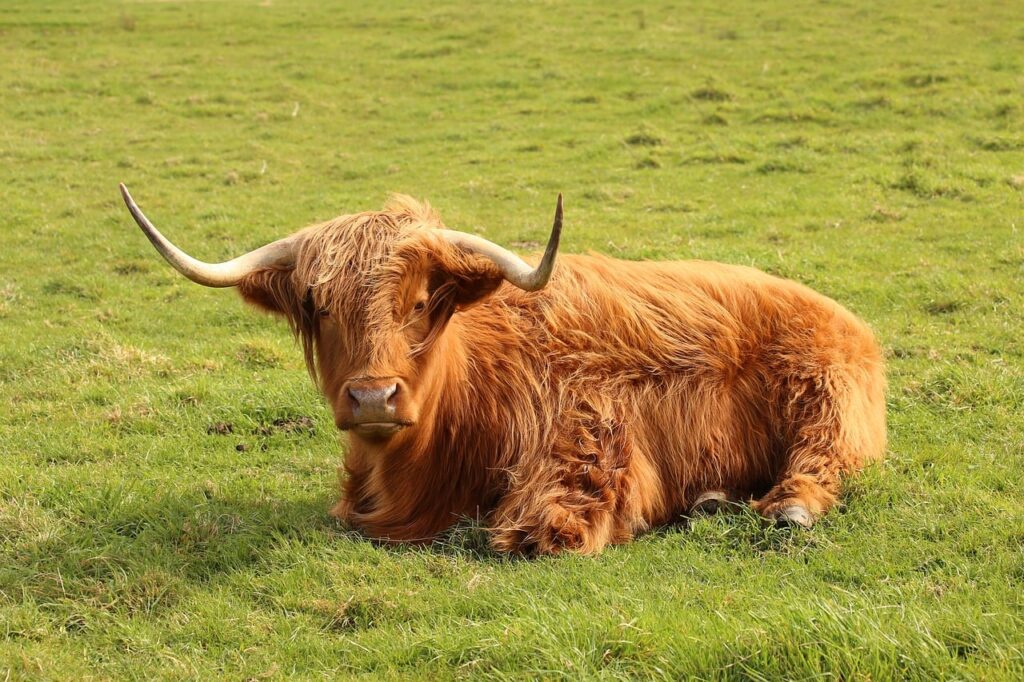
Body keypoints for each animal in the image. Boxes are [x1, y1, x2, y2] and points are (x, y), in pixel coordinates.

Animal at [119, 184, 886, 555]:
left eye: (420, 302)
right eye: (319, 306)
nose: (372, 397)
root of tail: (844, 317)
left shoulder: (589, 434)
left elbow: (546, 526)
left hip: (828, 411)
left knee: (821, 465)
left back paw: (784, 507)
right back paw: (712, 500)